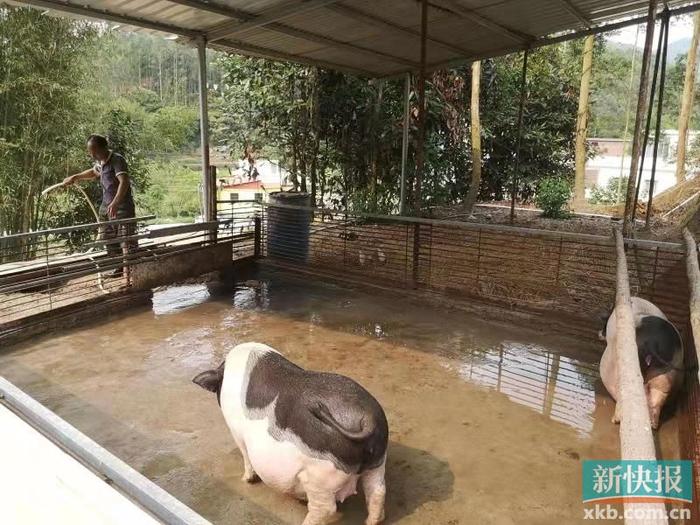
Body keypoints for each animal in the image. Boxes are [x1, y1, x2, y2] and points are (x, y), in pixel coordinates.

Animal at [193, 342, 388, 524]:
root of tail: (366, 418)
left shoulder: (236, 432)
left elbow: (246, 457)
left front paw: (245, 480)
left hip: (320, 477)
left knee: (325, 508)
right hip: (377, 462)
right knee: (377, 492)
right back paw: (370, 521)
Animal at [600, 296, 684, 428]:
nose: (599, 333)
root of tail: (653, 344)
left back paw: (615, 420)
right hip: (666, 375)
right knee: (658, 397)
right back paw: (653, 425)